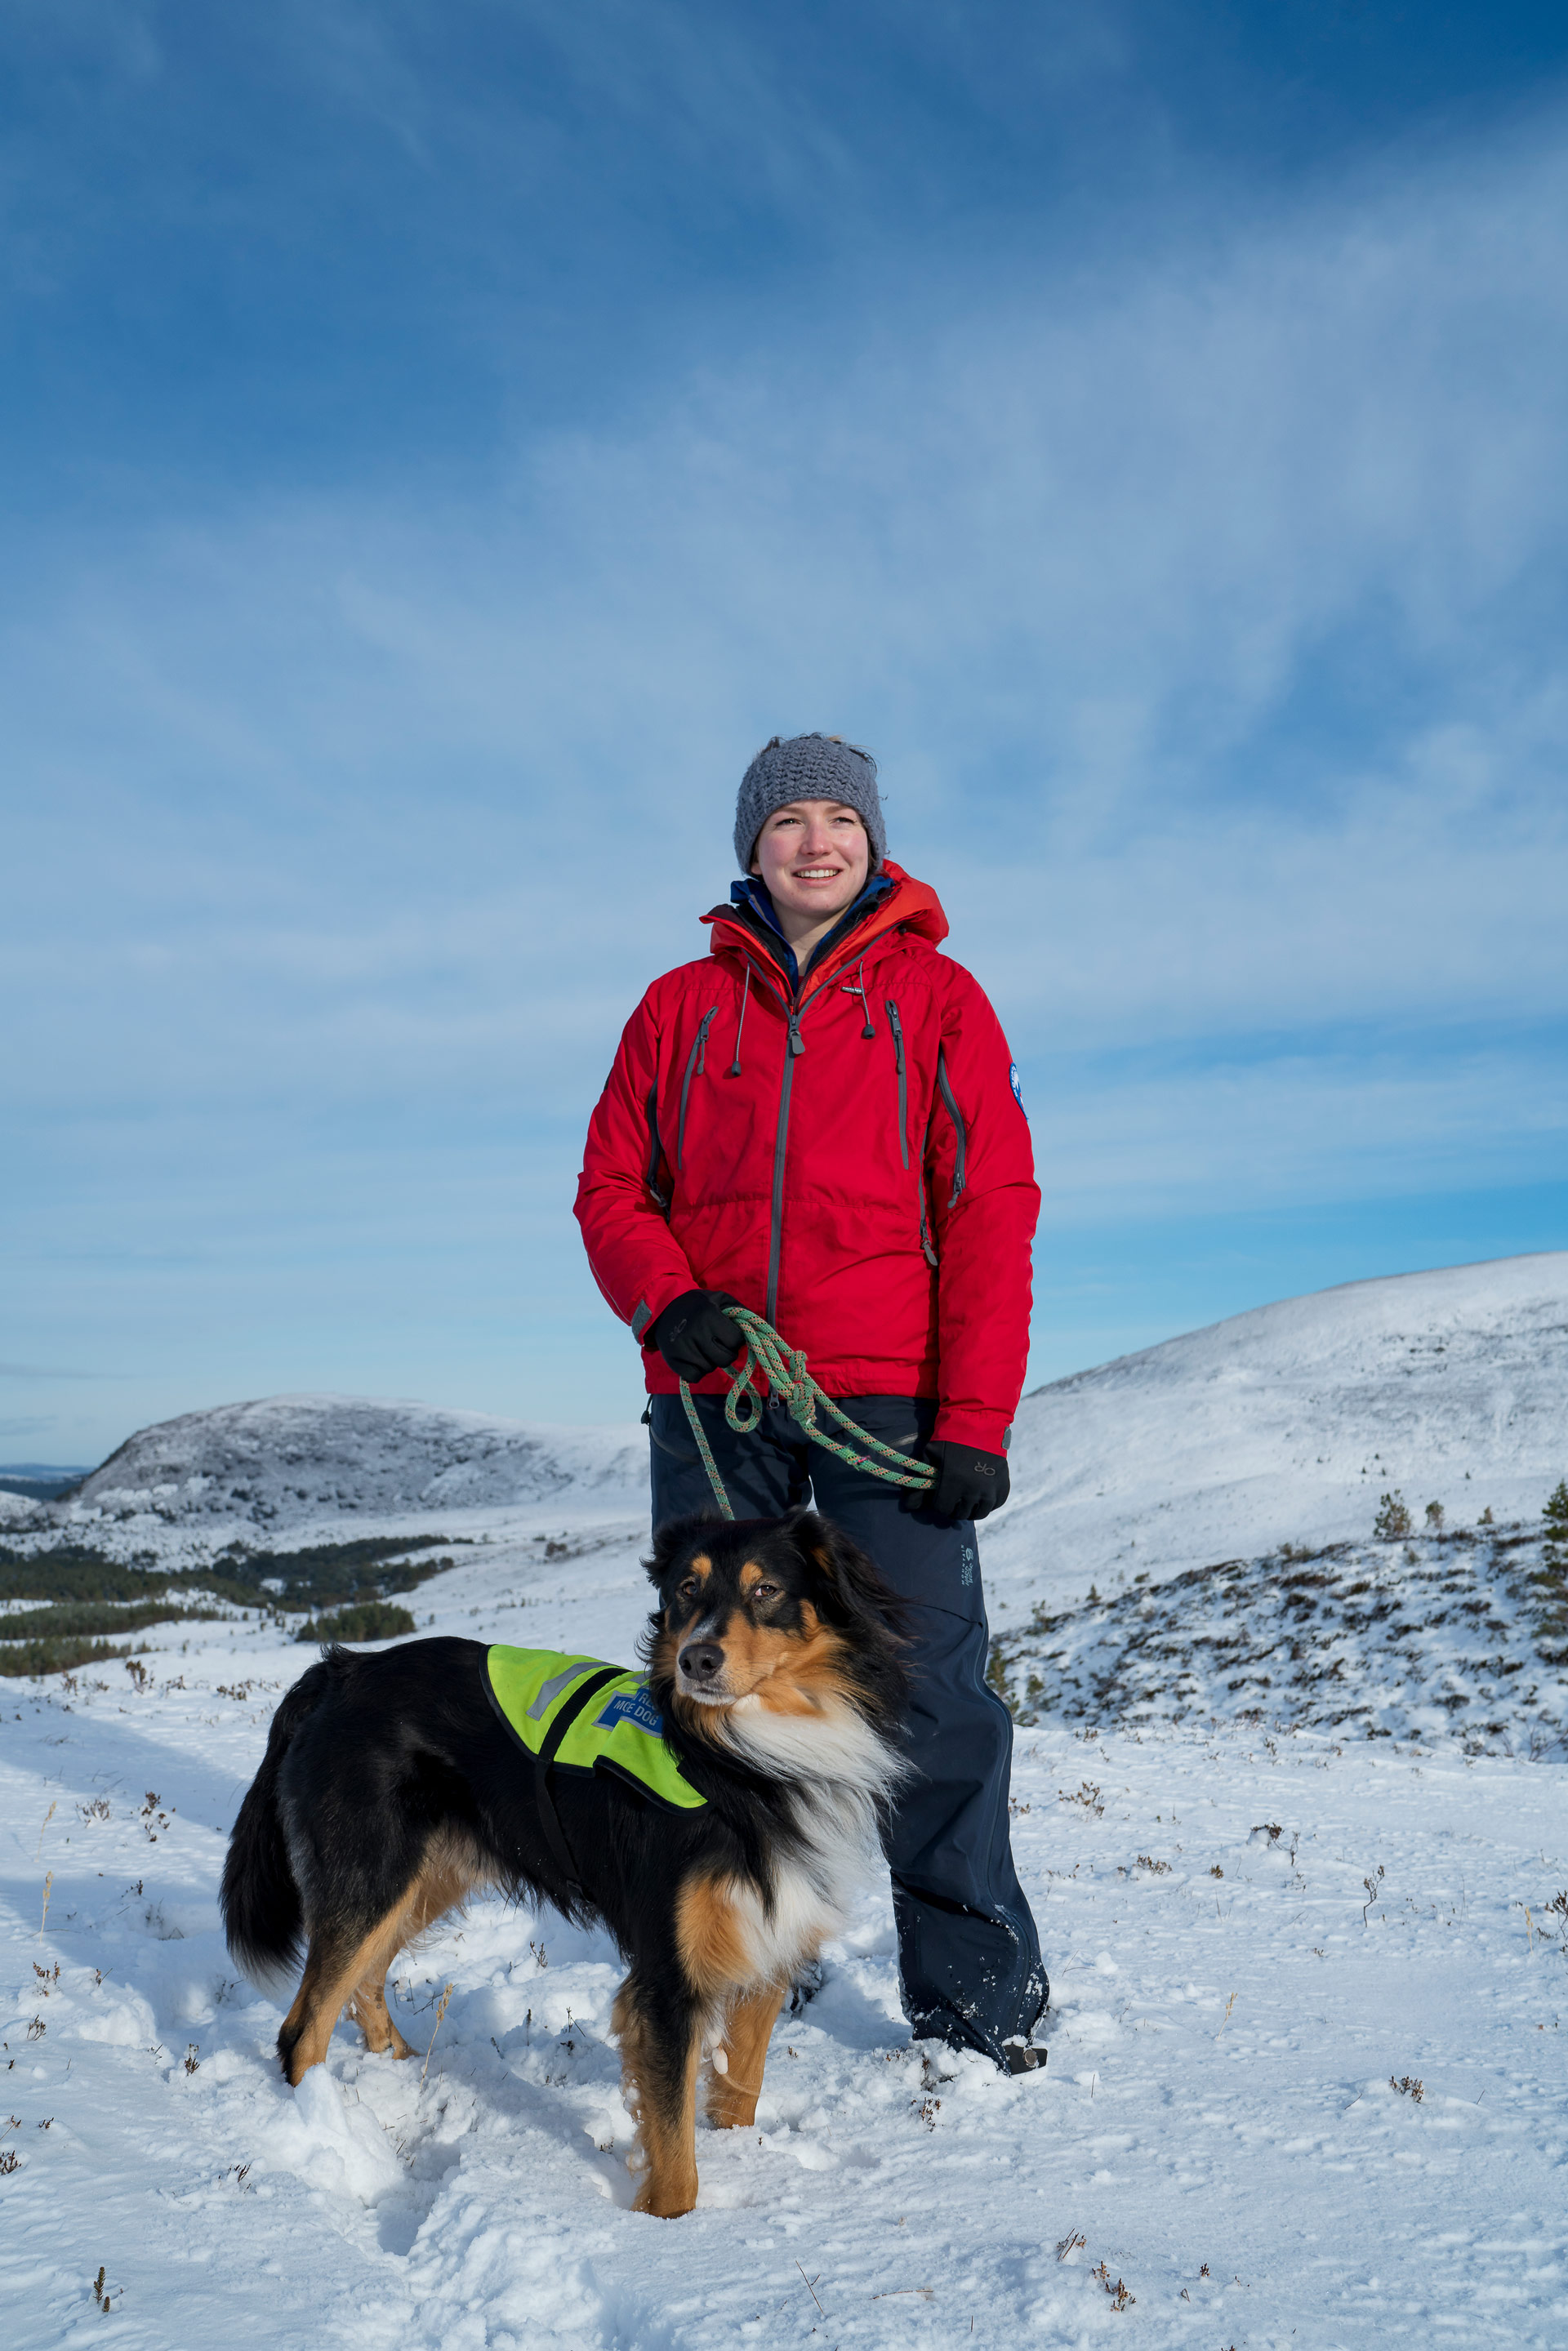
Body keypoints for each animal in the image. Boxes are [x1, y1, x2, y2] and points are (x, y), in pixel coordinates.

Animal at [220, 1514, 907, 2210]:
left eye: (766, 1589)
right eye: (687, 1588)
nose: (696, 1659)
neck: (740, 1759)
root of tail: (339, 1669)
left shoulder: (770, 1938)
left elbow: (740, 2086)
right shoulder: (667, 1974)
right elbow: (674, 2144)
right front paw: (672, 2227)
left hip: (421, 1878)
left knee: (363, 1978)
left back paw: (402, 2068)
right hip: (371, 1876)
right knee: (302, 2027)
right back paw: (326, 2134)